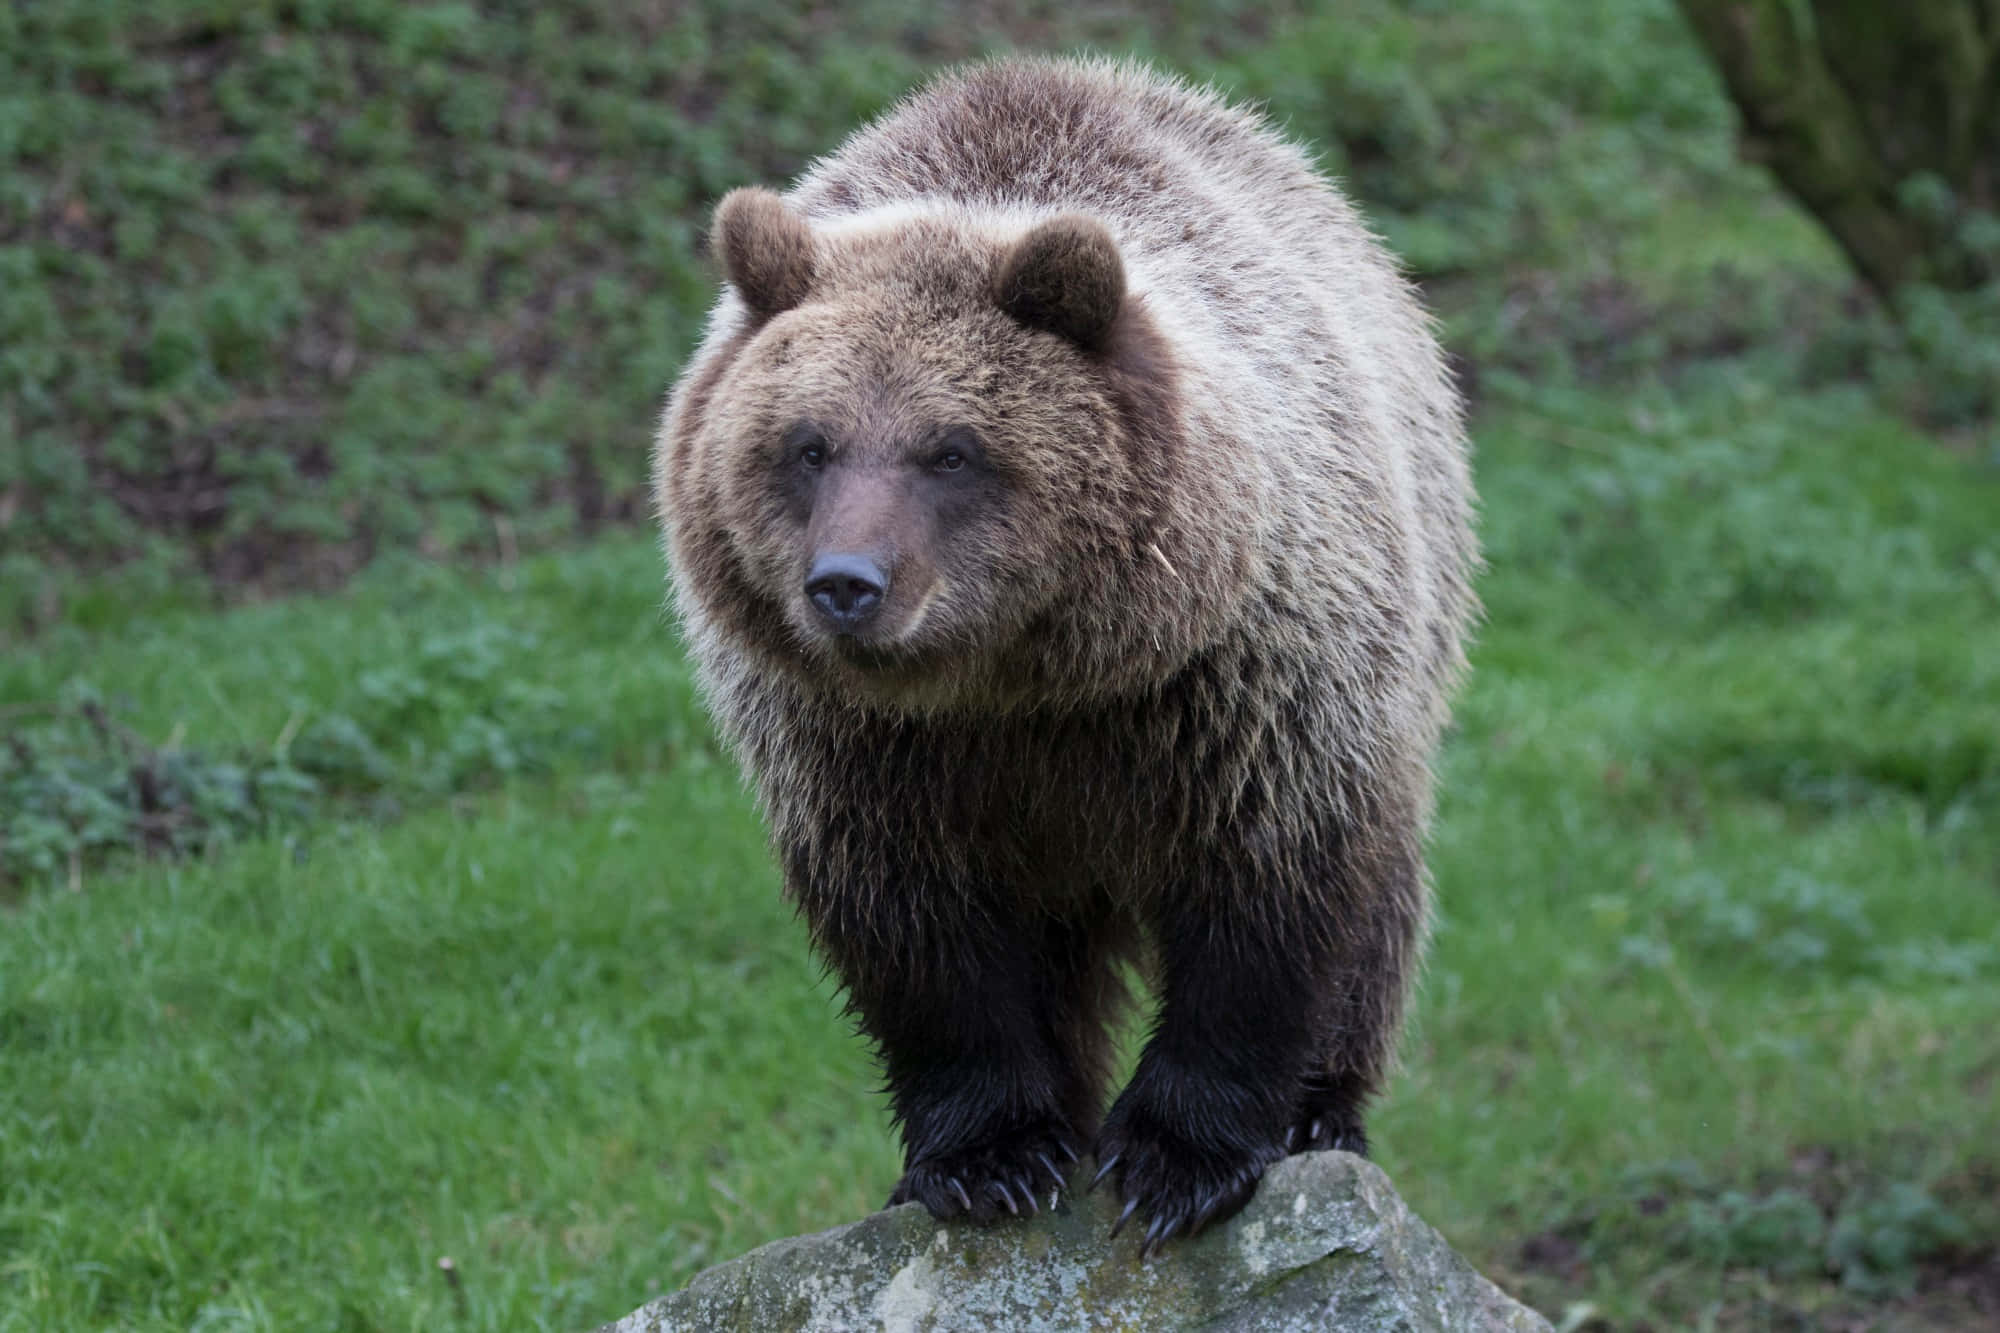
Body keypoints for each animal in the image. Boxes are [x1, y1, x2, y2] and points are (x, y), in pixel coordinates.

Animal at [653, 55, 1477, 1255]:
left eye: (950, 449)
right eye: (806, 445)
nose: (847, 584)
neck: (1022, 680)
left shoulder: (1241, 689)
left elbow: (1268, 899)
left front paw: (1178, 1159)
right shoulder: (861, 752)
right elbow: (920, 939)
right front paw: (989, 1156)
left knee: (1383, 907)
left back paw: (1324, 1107)